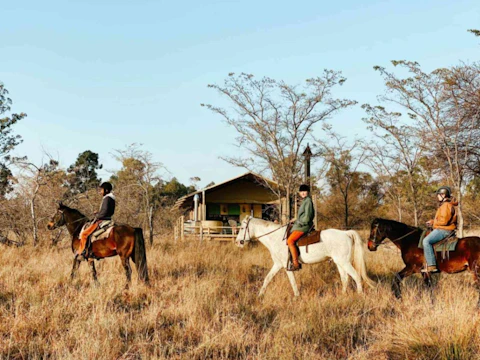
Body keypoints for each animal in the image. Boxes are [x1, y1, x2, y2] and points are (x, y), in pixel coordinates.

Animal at [236, 217, 376, 296]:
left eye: (242, 228)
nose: (238, 242)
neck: (276, 237)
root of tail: (346, 233)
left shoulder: (286, 266)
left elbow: (292, 282)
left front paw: (297, 296)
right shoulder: (277, 264)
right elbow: (267, 279)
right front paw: (260, 295)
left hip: (344, 262)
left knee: (356, 276)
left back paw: (359, 295)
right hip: (339, 262)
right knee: (345, 278)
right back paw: (342, 295)